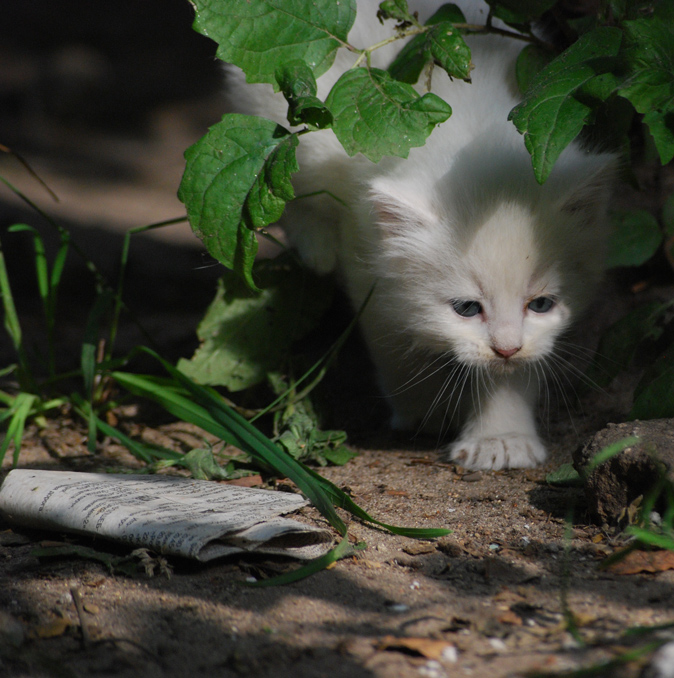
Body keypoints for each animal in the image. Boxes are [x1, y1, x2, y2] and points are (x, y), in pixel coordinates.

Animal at [223, 0, 612, 470]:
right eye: (466, 308)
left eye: (541, 305)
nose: (506, 349)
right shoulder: (370, 267)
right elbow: (395, 346)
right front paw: (427, 410)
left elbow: (516, 371)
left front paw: (501, 437)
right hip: (284, 105)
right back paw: (316, 243)